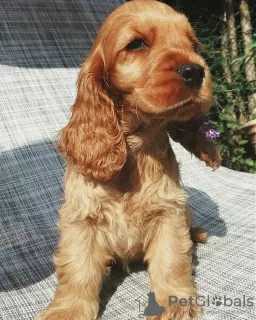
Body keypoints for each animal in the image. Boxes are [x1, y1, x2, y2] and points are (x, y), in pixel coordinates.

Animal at [35, 0, 220, 320]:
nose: (196, 71)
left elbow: (171, 260)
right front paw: (67, 310)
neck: (135, 145)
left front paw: (174, 303)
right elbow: (78, 269)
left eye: (193, 44)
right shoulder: (81, 218)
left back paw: (197, 233)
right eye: (136, 44)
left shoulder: (169, 212)